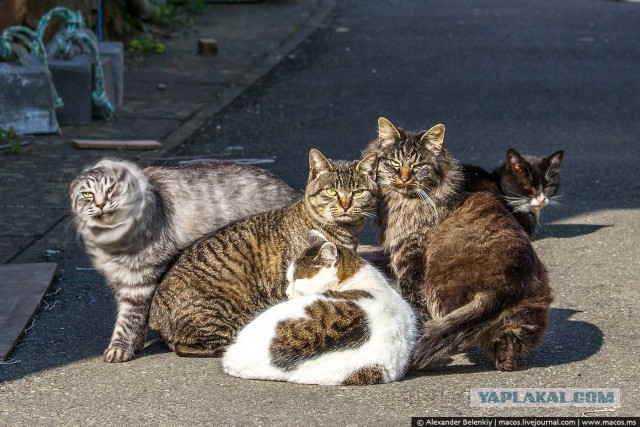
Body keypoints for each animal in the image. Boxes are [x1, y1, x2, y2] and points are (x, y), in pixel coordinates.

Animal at [70, 159, 300, 362]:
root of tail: (294, 193)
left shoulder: (140, 279)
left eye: (111, 190)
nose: (101, 204)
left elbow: (128, 319)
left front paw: (119, 348)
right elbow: (135, 318)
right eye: (88, 195)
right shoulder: (120, 281)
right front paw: (136, 344)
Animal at [149, 150, 380, 358]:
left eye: (358, 192)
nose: (346, 205)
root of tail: (156, 313)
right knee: (186, 346)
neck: (345, 234)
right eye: (331, 191)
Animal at [368, 117, 552, 372]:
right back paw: (504, 361)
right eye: (395, 162)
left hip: (438, 286)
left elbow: (414, 304)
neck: (405, 203)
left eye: (418, 165)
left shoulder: (408, 260)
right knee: (506, 340)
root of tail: (510, 283)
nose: (404, 177)